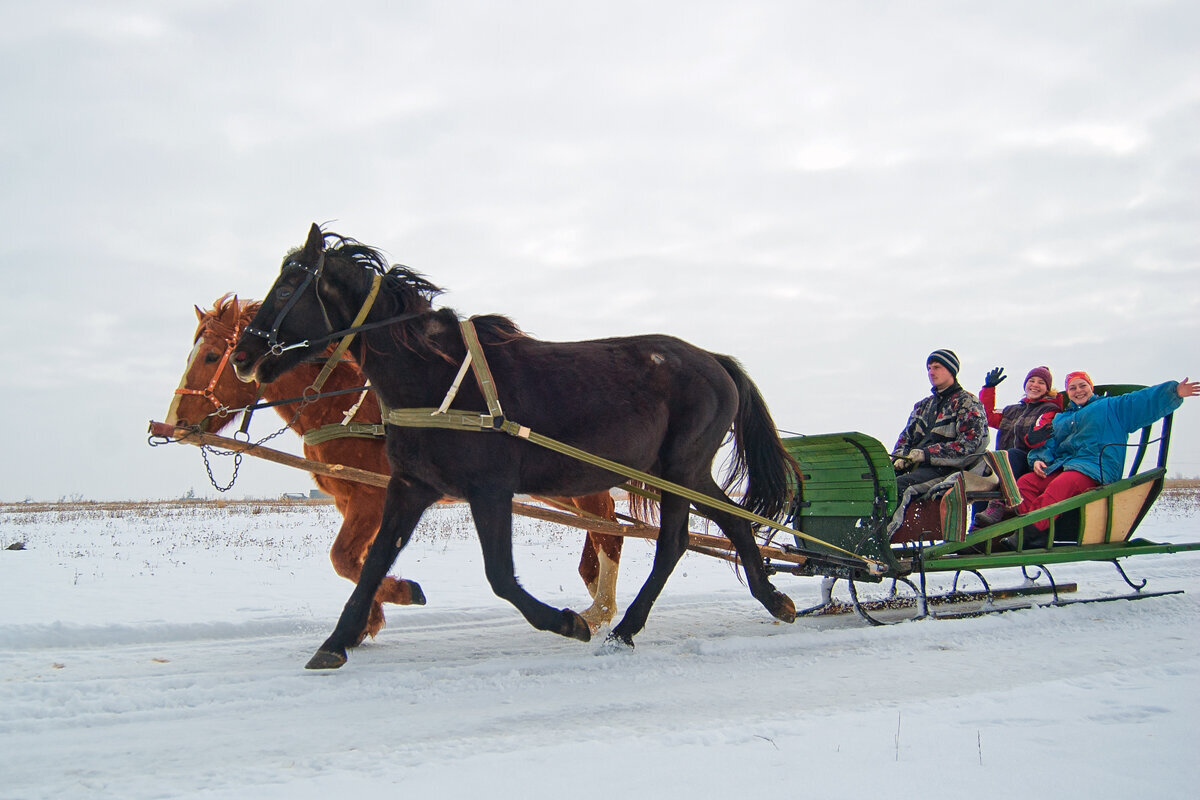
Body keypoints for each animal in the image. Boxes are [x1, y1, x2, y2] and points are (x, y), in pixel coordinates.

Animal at [165, 293, 628, 638]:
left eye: (211, 356)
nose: (175, 423)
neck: (347, 407)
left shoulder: (371, 497)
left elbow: (344, 557)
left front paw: (399, 596)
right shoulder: (350, 498)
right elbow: (357, 560)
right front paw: (369, 617)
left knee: (610, 531)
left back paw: (600, 610)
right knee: (603, 529)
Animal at [231, 225, 796, 671]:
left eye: (287, 288)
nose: (245, 353)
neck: (438, 379)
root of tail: (715, 360)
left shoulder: (490, 489)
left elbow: (500, 576)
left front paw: (568, 622)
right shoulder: (410, 486)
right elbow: (373, 564)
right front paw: (336, 641)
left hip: (679, 469)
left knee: (673, 544)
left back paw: (624, 630)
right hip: (685, 471)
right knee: (734, 522)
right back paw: (774, 600)